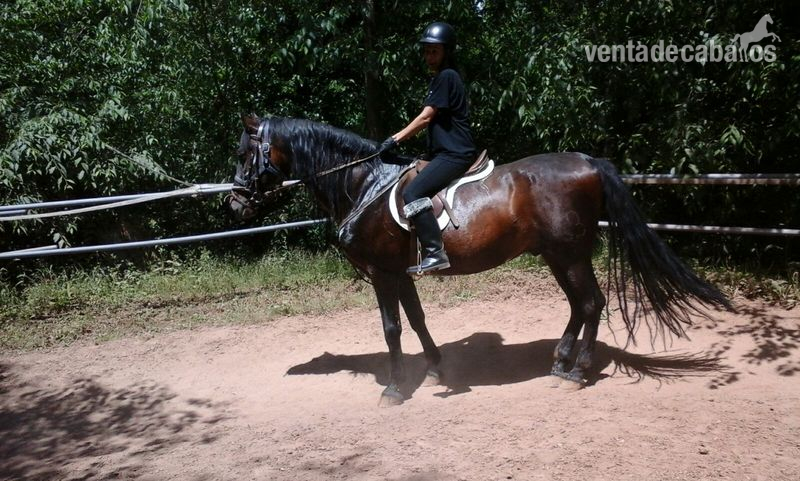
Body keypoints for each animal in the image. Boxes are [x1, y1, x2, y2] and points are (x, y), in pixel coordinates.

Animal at [226, 114, 731, 406]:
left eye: (243, 153)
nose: (233, 204)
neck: (364, 184)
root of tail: (588, 161)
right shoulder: (403, 273)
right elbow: (417, 320)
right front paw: (433, 369)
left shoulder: (383, 273)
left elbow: (391, 328)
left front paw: (395, 388)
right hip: (556, 255)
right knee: (579, 305)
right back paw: (560, 362)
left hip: (569, 254)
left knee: (591, 303)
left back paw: (575, 373)